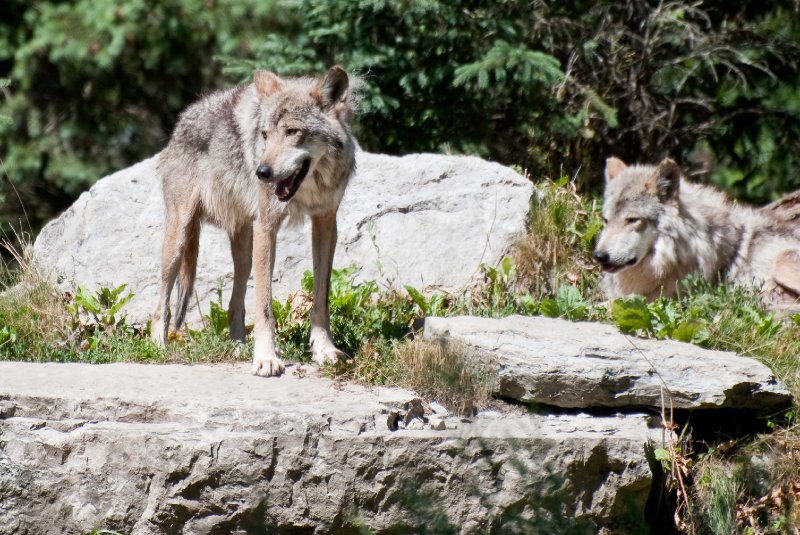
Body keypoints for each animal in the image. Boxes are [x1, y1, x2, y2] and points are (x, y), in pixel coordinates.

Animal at [150, 66, 357, 376]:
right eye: (265, 135)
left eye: (292, 132)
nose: (262, 172)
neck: (309, 187)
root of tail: (180, 122)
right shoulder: (266, 226)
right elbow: (265, 307)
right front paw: (266, 358)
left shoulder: (325, 223)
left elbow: (321, 298)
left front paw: (325, 350)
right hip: (180, 238)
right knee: (161, 302)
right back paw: (159, 348)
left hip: (244, 252)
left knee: (234, 306)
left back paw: (239, 348)